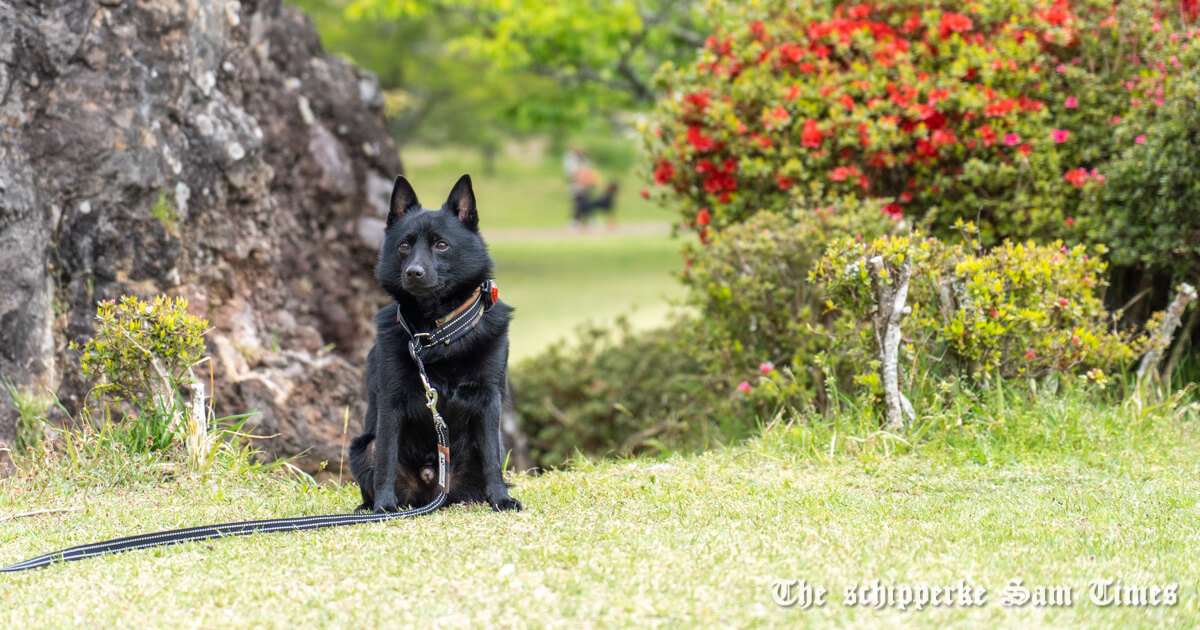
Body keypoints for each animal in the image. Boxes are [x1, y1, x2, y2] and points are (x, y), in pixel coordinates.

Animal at [345, 171, 518, 511]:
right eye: (403, 245)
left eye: (441, 245)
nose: (414, 272)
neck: (437, 333)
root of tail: (434, 488)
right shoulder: (391, 403)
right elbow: (386, 460)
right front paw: (384, 507)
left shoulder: (489, 400)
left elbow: (492, 457)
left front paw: (501, 499)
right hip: (362, 446)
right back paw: (369, 507)